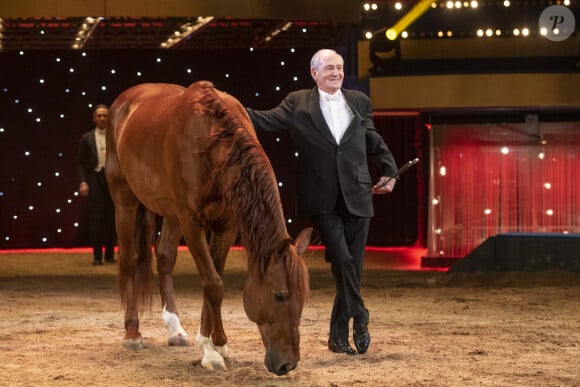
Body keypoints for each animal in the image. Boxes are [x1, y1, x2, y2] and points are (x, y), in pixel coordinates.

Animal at [104, 82, 312, 376]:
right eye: (279, 295)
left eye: (302, 298)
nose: (287, 364)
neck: (213, 143)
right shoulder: (192, 223)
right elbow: (213, 284)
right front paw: (214, 350)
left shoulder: (226, 225)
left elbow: (214, 279)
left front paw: (213, 344)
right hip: (124, 197)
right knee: (130, 260)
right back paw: (132, 333)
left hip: (171, 213)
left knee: (165, 257)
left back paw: (175, 330)